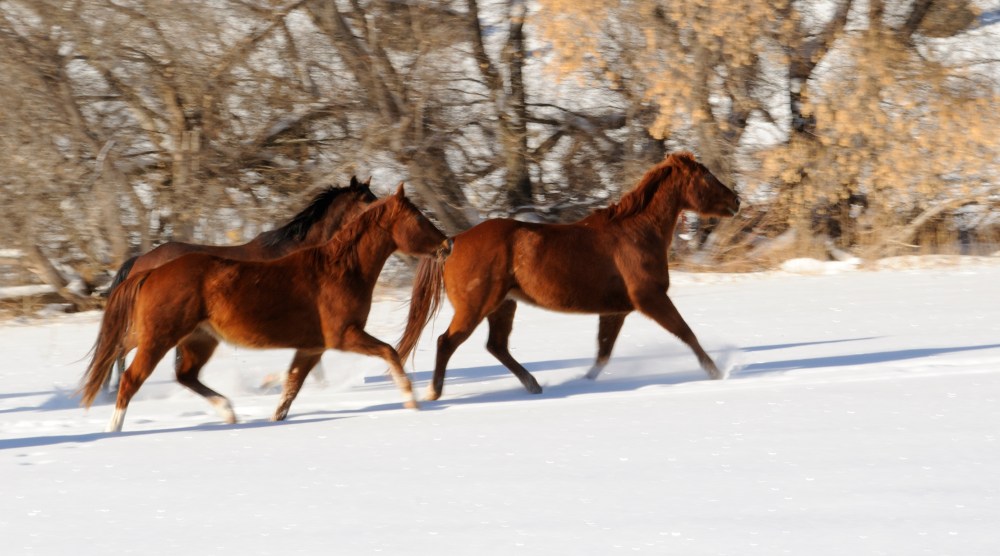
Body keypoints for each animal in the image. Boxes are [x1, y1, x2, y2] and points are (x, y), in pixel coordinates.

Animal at [396, 152, 741, 401]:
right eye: (706, 175)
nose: (736, 201)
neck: (637, 233)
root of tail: (452, 242)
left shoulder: (615, 311)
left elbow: (603, 353)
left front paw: (583, 383)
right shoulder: (650, 298)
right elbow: (687, 334)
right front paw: (717, 373)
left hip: (503, 305)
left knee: (496, 346)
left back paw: (534, 385)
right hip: (475, 306)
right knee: (446, 342)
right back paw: (433, 393)